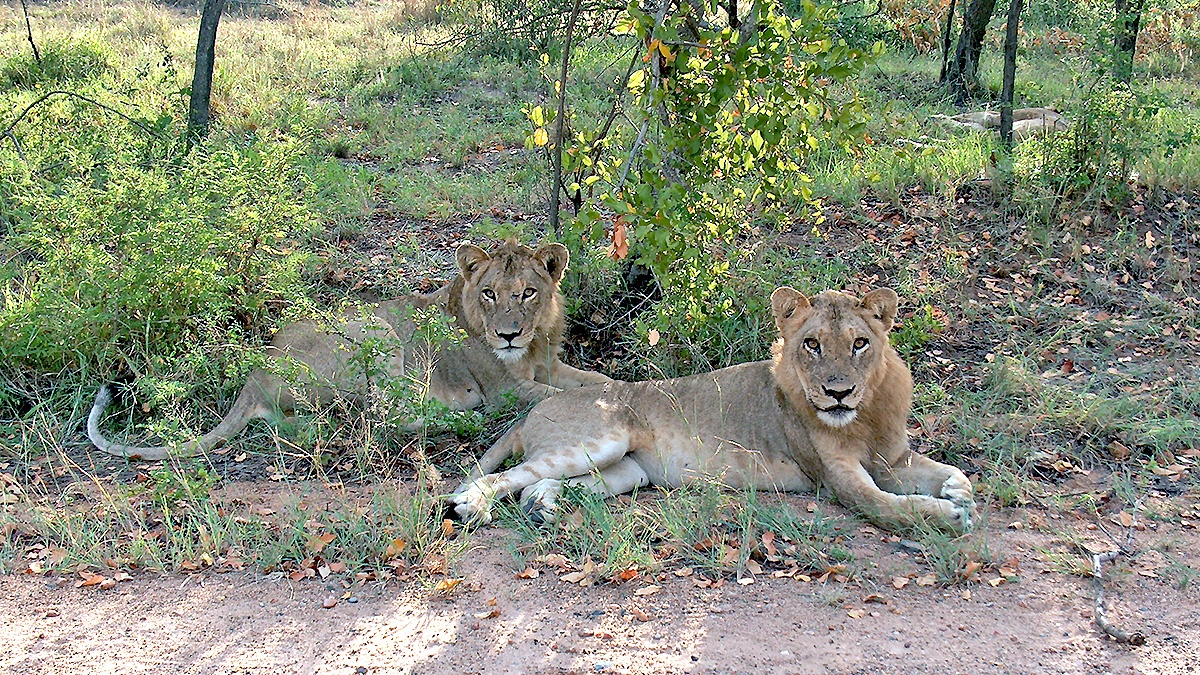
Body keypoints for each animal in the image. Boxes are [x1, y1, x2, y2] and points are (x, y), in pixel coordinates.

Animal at [87, 240, 612, 460]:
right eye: (489, 294)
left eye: (528, 293)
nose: (507, 335)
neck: (535, 341)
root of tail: (255, 375)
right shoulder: (507, 388)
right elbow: (561, 396)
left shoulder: (551, 365)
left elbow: (599, 382)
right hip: (377, 331)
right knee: (385, 420)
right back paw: (462, 416)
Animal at [447, 286, 976, 534]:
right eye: (812, 344)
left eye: (860, 344)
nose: (838, 393)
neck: (864, 415)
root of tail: (537, 410)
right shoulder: (837, 477)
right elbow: (891, 505)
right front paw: (949, 515)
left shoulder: (893, 459)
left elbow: (951, 472)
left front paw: (958, 492)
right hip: (601, 439)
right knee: (506, 477)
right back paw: (473, 505)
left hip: (629, 471)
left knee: (539, 485)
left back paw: (542, 508)